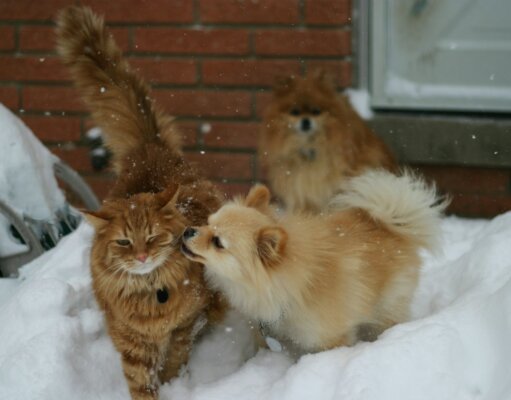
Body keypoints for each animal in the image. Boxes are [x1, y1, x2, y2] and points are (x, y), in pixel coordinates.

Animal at [55, 6, 226, 400]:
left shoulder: (188, 323)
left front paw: (173, 382)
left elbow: (175, 358)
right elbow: (141, 382)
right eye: (123, 242)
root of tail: (149, 147)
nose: (142, 257)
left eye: (152, 237)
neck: (152, 294)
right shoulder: (130, 341)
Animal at [182, 169, 446, 354]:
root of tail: (391, 225)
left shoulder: (331, 339)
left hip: (387, 309)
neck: (287, 287)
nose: (187, 231)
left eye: (217, 242)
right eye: (207, 222)